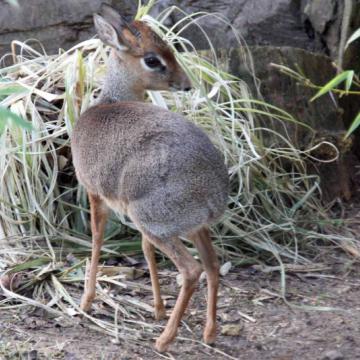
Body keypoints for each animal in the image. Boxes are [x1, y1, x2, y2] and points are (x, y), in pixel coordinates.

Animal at [71, 2, 228, 352]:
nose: (185, 83)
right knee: (212, 265)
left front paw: (86, 301)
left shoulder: (95, 193)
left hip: (155, 221)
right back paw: (209, 333)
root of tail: (215, 193)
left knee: (192, 270)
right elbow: (143, 250)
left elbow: (97, 239)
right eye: (153, 59)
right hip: (190, 227)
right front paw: (157, 308)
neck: (109, 102)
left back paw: (164, 340)